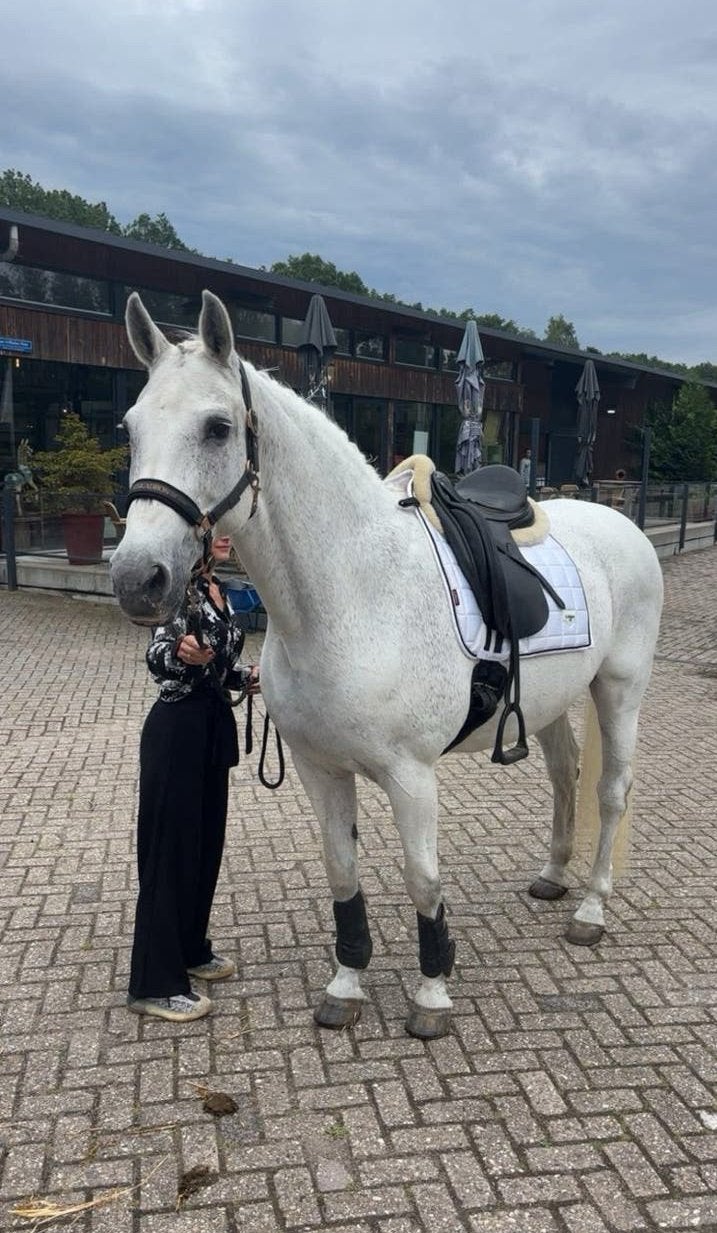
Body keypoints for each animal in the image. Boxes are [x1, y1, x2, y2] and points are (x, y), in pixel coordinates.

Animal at [110, 291, 664, 1040]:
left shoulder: (412, 777)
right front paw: (346, 985)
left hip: (619, 690)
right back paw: (553, 876)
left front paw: (432, 994)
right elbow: (343, 872)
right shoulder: (319, 769)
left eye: (218, 427)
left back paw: (591, 909)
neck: (354, 593)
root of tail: (625, 527)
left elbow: (421, 878)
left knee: (610, 791)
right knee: (563, 774)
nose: (137, 578)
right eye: (131, 427)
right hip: (552, 702)